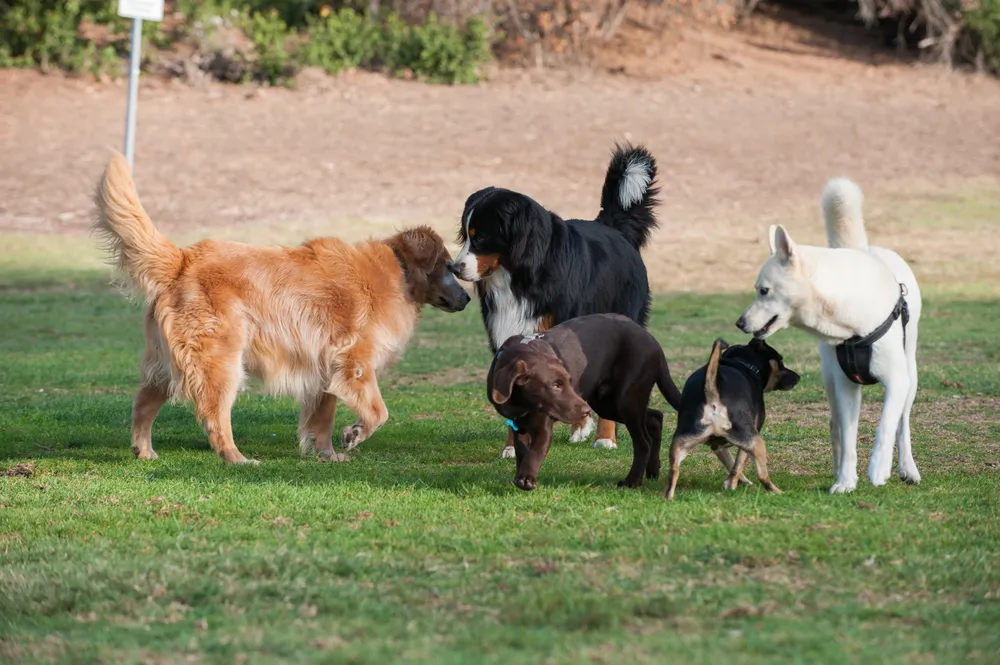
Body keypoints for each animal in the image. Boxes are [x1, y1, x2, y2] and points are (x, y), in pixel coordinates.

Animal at [454, 143, 664, 456]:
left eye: (479, 238)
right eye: (465, 235)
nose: (454, 268)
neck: (519, 276)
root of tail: (614, 228)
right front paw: (513, 447)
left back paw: (604, 437)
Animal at [668, 338, 800, 498]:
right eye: (780, 360)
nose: (798, 377)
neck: (741, 362)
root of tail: (712, 395)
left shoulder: (717, 446)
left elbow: (731, 464)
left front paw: (737, 482)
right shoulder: (750, 436)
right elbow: (738, 463)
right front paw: (733, 484)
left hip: (680, 442)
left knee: (673, 471)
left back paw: (669, 497)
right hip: (756, 440)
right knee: (762, 476)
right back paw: (778, 492)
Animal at [736, 178, 920, 492]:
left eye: (763, 291)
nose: (740, 323)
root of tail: (863, 248)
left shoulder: (897, 381)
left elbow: (885, 425)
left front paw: (878, 469)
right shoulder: (845, 386)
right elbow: (848, 438)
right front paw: (845, 482)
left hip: (911, 375)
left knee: (902, 422)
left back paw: (907, 468)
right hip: (831, 381)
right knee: (836, 427)